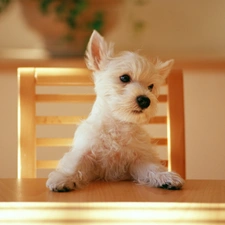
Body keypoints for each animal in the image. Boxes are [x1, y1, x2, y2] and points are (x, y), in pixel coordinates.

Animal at [46, 29, 185, 192]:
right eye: (124, 78)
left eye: (151, 86)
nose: (145, 100)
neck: (117, 124)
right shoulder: (86, 152)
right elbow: (75, 164)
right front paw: (63, 178)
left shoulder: (138, 159)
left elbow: (152, 168)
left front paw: (165, 177)